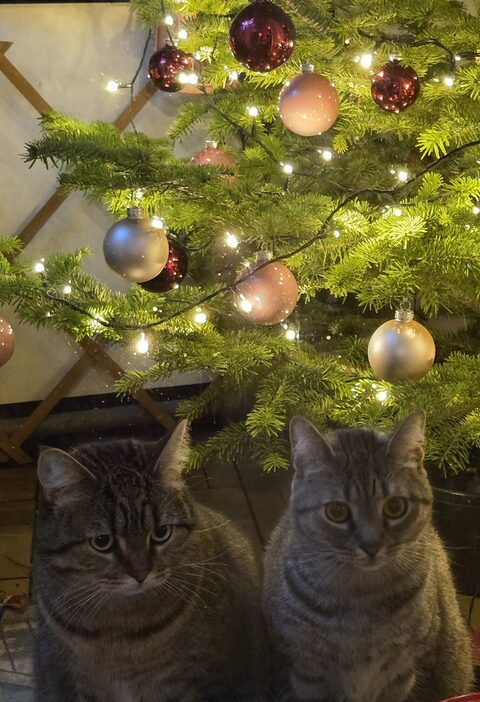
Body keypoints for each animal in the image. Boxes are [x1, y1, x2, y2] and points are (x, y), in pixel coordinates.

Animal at [264, 412, 474, 702]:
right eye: (337, 511)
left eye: (395, 506)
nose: (371, 546)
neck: (361, 597)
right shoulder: (306, 671)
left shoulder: (408, 669)